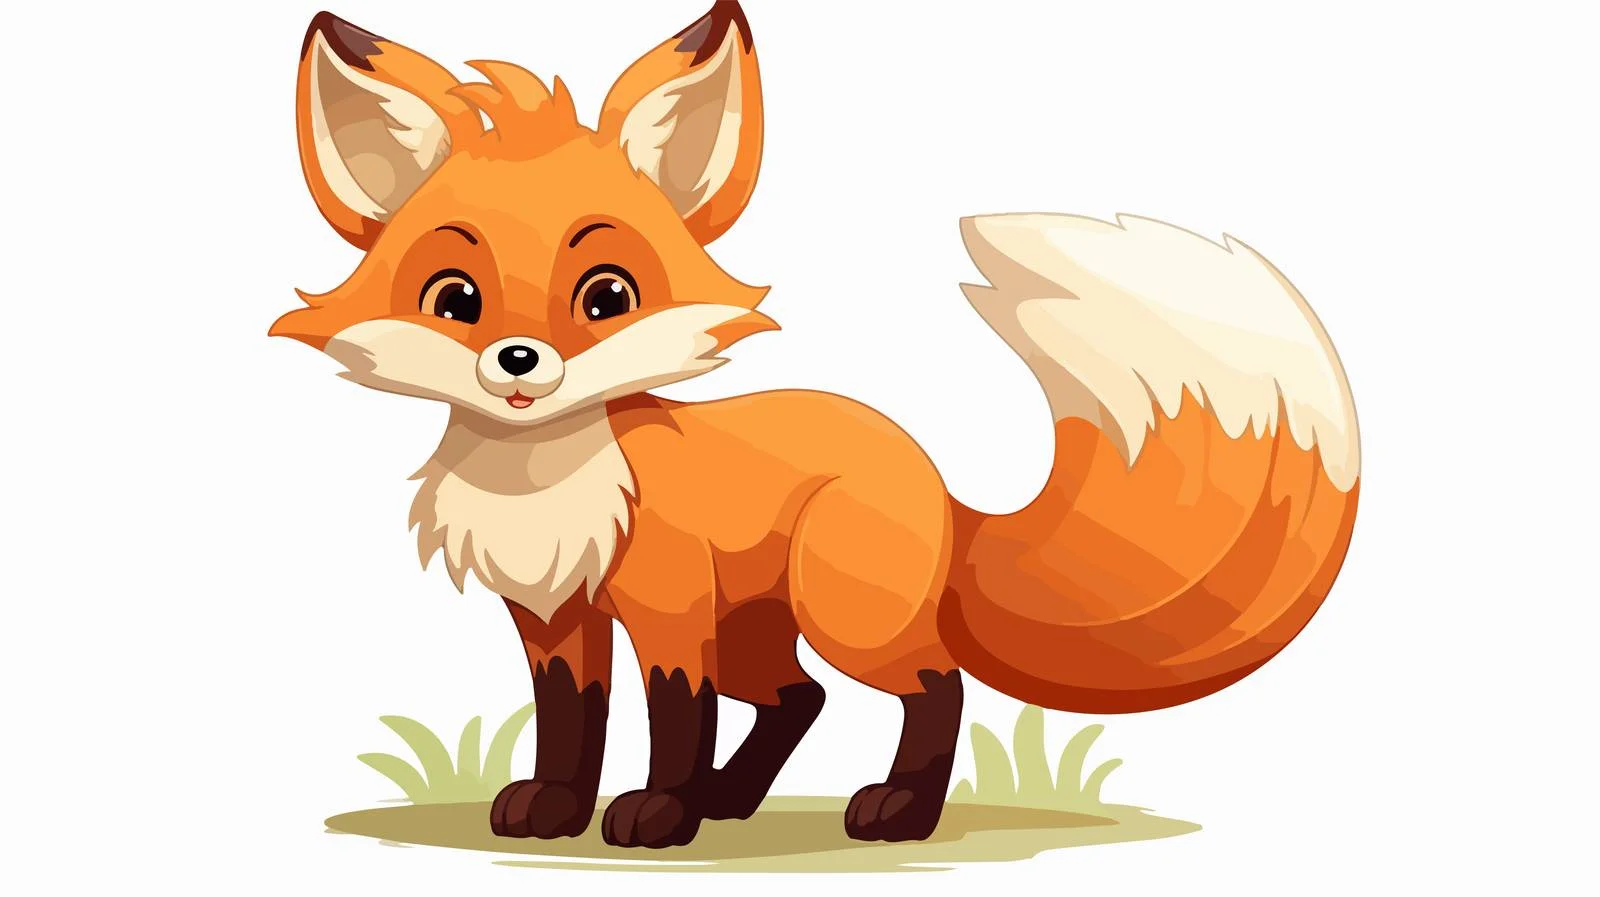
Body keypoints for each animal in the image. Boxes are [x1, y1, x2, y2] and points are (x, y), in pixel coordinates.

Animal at [273, 2, 1360, 848]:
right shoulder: (556, 618)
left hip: (843, 613)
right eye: (454, 298)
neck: (548, 481)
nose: (518, 363)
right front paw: (558, 808)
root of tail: (938, 484)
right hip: (761, 626)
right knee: (801, 697)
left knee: (933, 685)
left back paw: (895, 811)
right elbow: (569, 722)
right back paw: (735, 800)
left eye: (607, 295)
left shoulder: (668, 608)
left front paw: (658, 813)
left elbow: (675, 716)